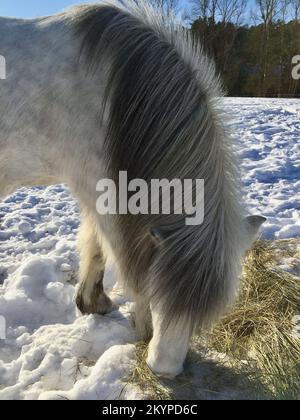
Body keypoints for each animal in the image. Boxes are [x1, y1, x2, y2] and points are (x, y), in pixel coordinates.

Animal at [0, 0, 264, 378]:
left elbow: (96, 245)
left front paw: (92, 303)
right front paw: (144, 328)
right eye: (163, 291)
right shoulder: (101, 188)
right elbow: (129, 261)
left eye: (206, 313)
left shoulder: (100, 186)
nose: (165, 368)